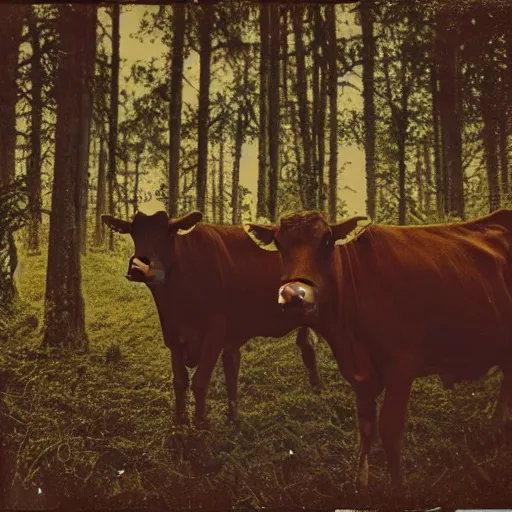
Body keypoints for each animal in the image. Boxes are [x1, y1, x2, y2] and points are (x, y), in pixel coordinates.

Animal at [102, 210, 322, 426]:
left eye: (170, 233)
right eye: (133, 233)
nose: (139, 267)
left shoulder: (214, 334)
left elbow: (200, 382)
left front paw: (200, 423)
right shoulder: (173, 336)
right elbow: (181, 380)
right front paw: (180, 419)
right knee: (306, 346)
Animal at [243, 209, 512, 492]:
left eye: (326, 241)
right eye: (279, 244)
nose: (294, 294)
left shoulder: (401, 368)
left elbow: (390, 432)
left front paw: (398, 489)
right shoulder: (359, 376)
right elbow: (366, 427)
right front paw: (360, 482)